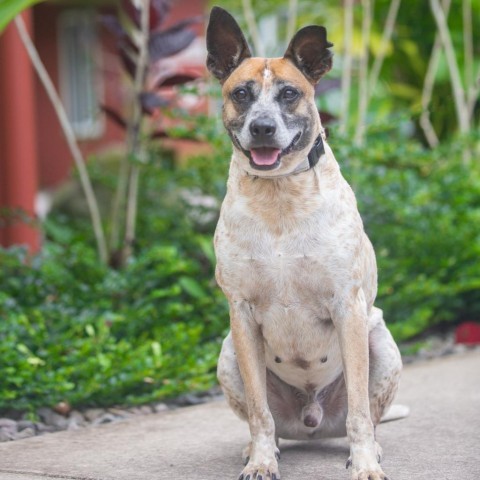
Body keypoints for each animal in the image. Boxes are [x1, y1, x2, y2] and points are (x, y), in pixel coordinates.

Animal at [208, 7, 404, 480]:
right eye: (241, 93)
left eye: (289, 94)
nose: (262, 127)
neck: (279, 195)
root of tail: (312, 420)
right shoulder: (241, 314)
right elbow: (259, 412)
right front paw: (261, 461)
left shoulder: (347, 306)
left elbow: (359, 412)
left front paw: (365, 463)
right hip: (228, 353)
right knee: (267, 419)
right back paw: (262, 448)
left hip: (381, 343)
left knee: (366, 413)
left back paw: (368, 448)